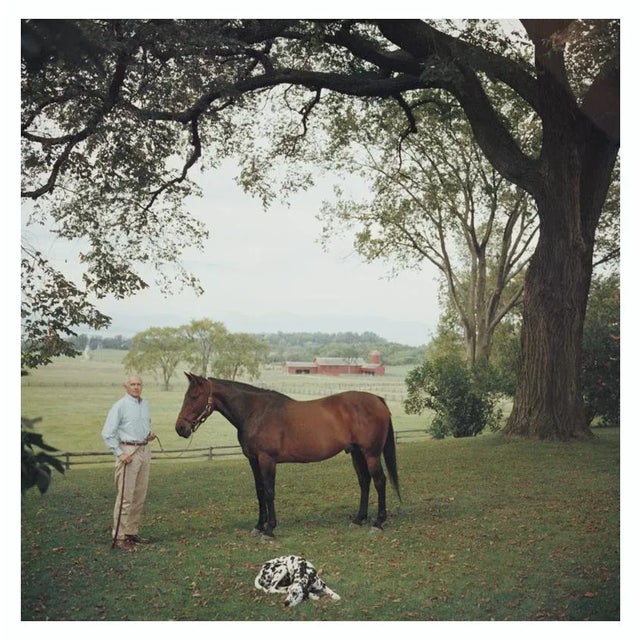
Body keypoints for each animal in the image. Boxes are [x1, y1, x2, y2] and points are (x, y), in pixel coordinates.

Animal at [175, 372, 401, 537]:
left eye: (194, 397)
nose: (180, 428)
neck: (255, 412)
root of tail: (378, 400)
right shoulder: (254, 460)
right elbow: (259, 491)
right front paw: (259, 526)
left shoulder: (267, 459)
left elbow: (269, 492)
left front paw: (269, 529)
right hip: (356, 453)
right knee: (364, 481)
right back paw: (358, 519)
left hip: (371, 454)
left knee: (379, 481)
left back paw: (378, 522)